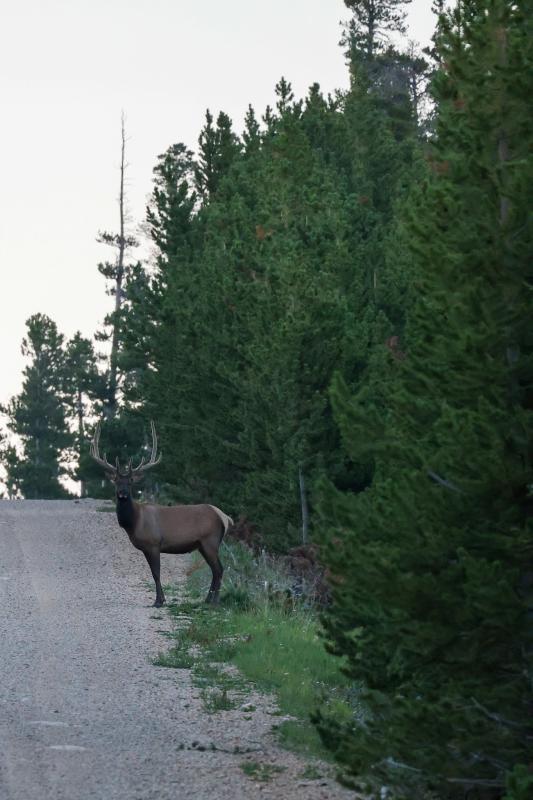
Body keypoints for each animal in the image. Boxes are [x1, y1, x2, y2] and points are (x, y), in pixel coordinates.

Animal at [90, 421, 233, 607]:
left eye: (130, 481)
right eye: (116, 481)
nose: (122, 493)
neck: (134, 522)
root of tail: (225, 517)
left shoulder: (153, 543)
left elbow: (156, 573)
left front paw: (158, 601)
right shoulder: (146, 548)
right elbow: (153, 572)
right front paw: (161, 599)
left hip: (211, 540)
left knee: (219, 569)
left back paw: (214, 601)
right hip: (203, 544)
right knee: (215, 570)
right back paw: (208, 599)